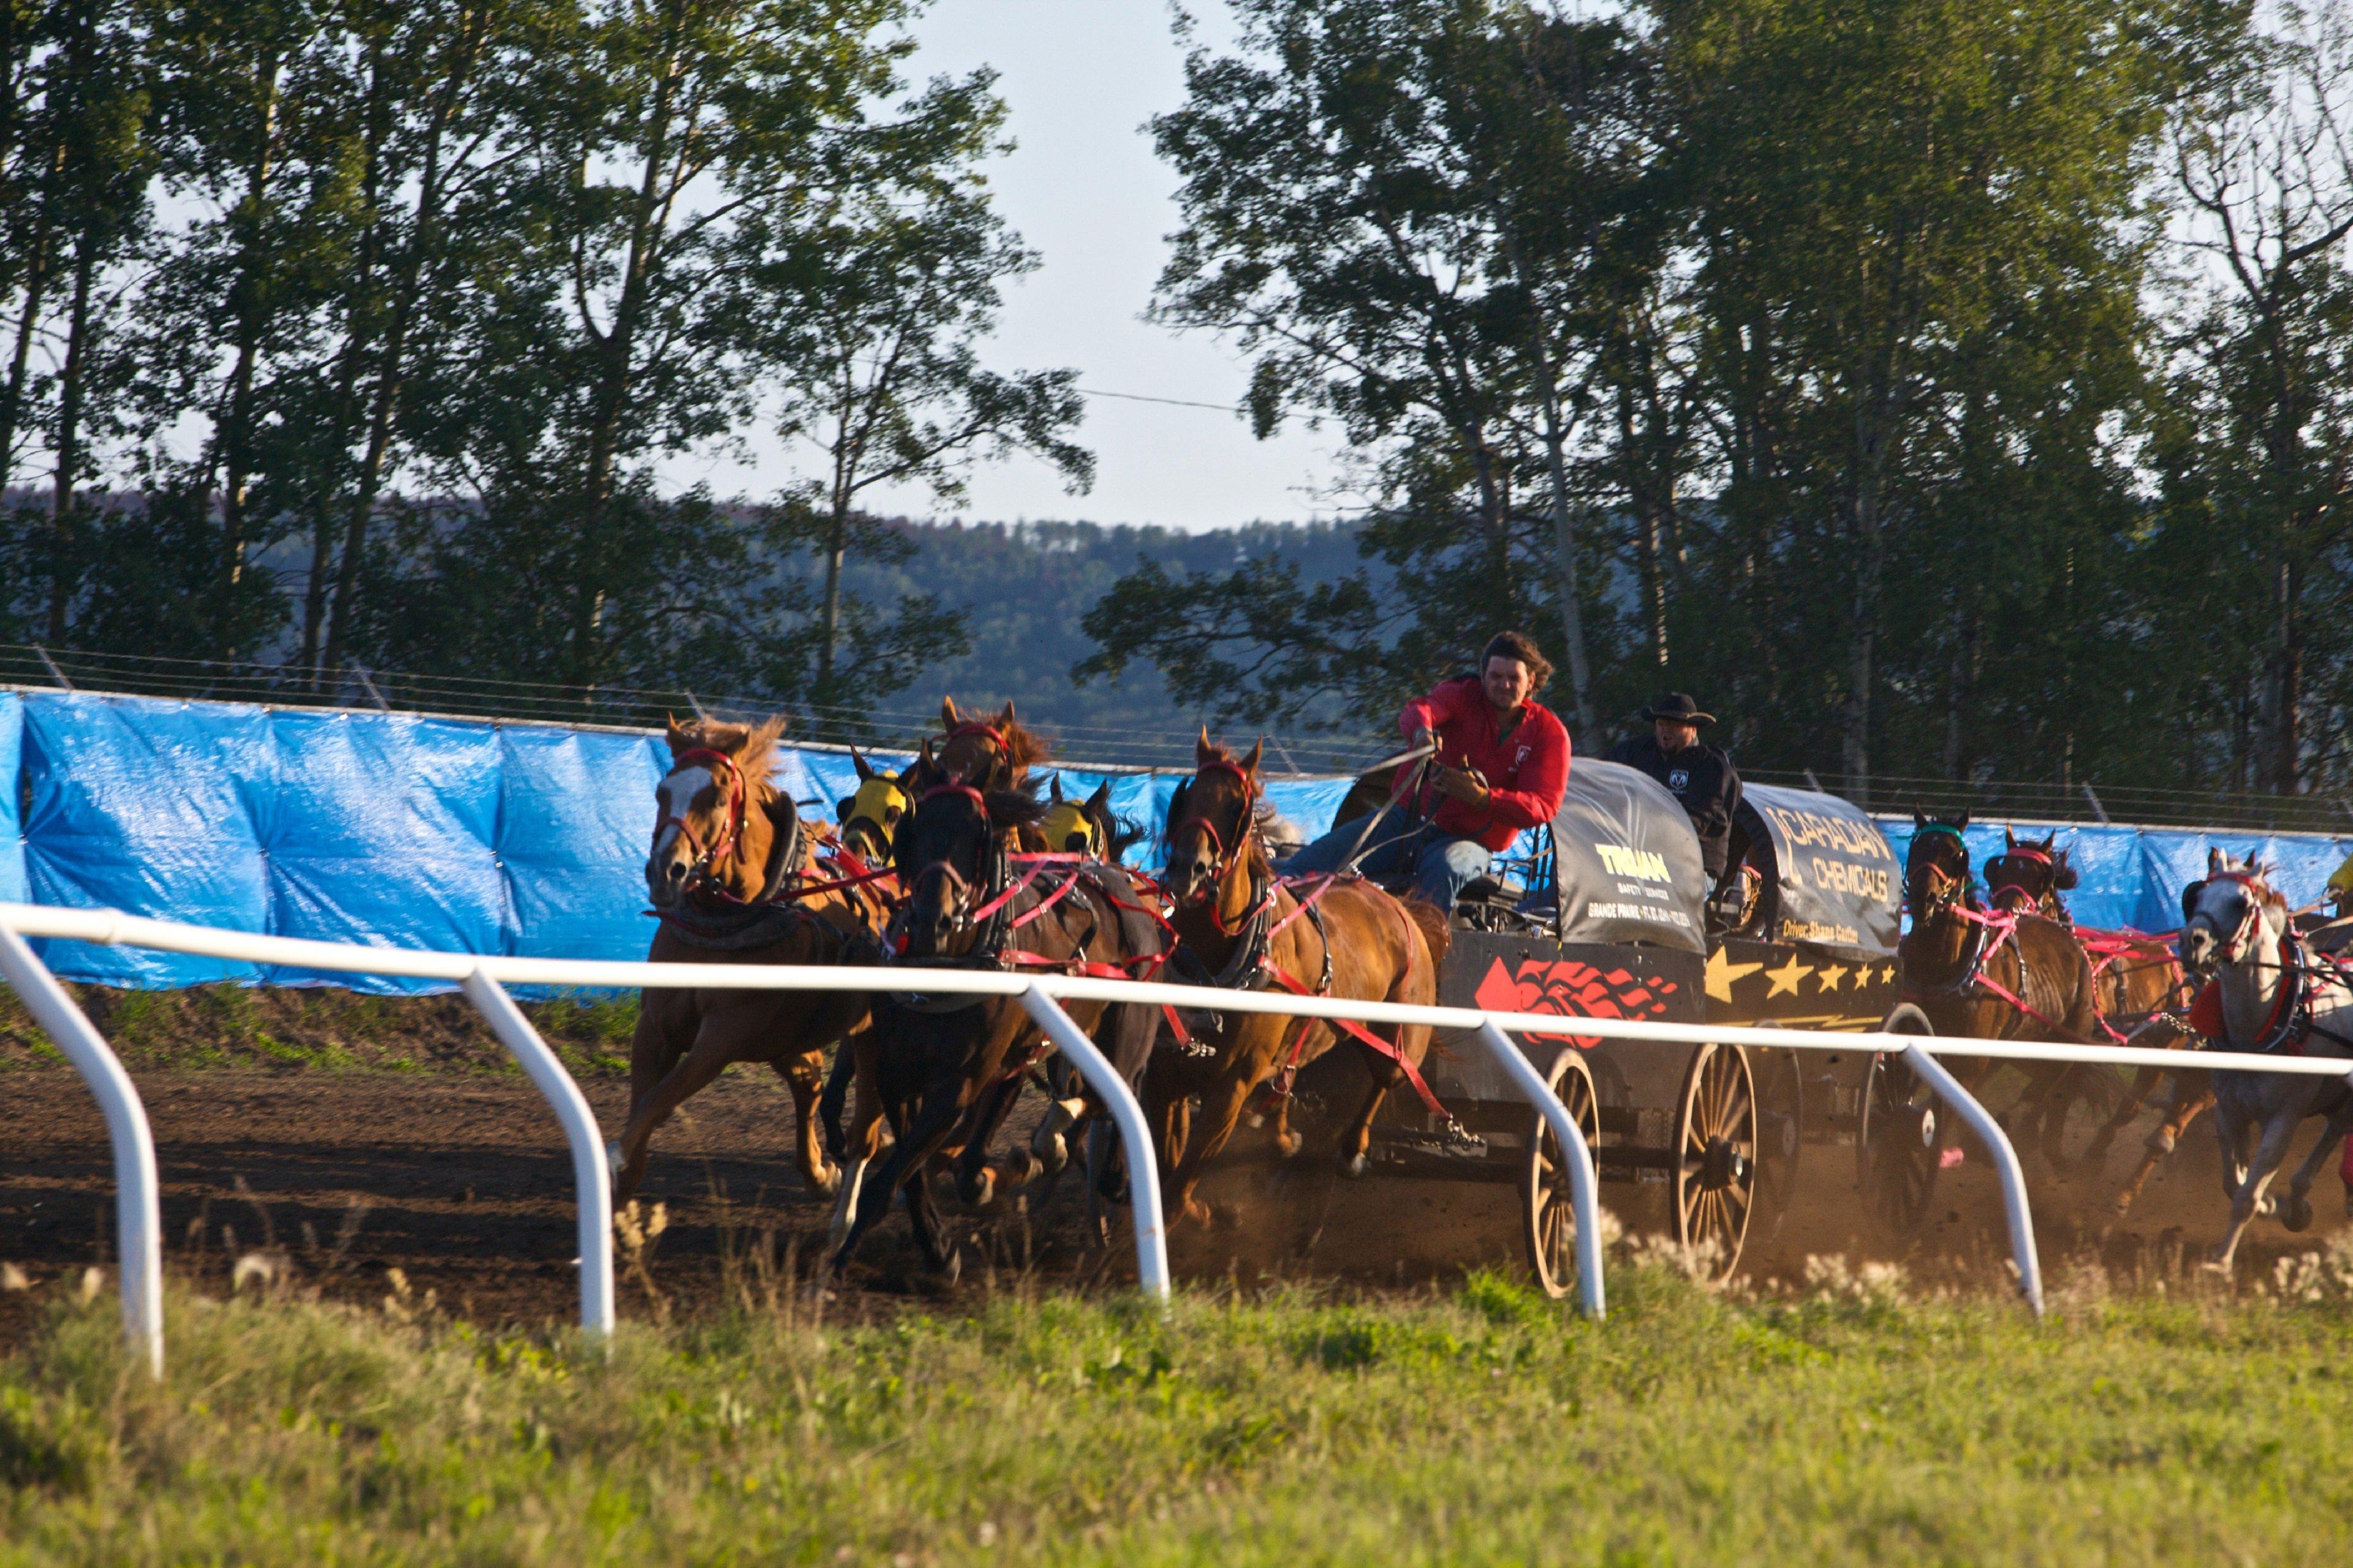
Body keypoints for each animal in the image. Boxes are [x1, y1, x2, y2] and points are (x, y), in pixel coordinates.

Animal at [607, 716, 889, 1195]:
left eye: (717, 799)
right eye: (662, 792)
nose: (665, 872)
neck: (724, 924)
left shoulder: (726, 1034)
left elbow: (658, 1102)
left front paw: (613, 1157)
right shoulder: (655, 1026)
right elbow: (644, 1101)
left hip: (871, 1033)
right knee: (809, 1082)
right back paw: (821, 1172)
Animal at [828, 776, 1167, 1281]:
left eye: (977, 837)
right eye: (915, 826)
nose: (933, 921)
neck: (947, 968)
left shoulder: (963, 1082)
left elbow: (895, 1178)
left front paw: (841, 1261)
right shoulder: (904, 1073)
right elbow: (921, 1171)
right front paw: (939, 1245)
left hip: (1126, 1035)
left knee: (1113, 1094)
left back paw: (1088, 1158)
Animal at [1153, 725, 1449, 1224]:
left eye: (1237, 805)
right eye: (1188, 794)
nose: (1187, 870)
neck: (1220, 962)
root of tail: (1399, 904)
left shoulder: (1230, 1087)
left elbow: (1178, 1189)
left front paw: (1198, 1213)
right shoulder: (1167, 1071)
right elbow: (1164, 1164)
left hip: (1400, 1040)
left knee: (1384, 1079)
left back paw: (1351, 1150)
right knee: (1289, 1076)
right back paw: (1280, 1131)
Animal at [1901, 819, 2108, 1158]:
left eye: (1957, 856)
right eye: (1915, 849)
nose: (1924, 899)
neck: (1941, 967)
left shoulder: (1969, 1061)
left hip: (2070, 1042)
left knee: (2047, 1094)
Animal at [2164, 843, 2353, 1271]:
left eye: (2240, 902)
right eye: (2197, 895)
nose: (2192, 942)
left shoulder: (2285, 1117)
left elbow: (2245, 1196)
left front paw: (2220, 1262)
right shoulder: (2228, 1109)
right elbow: (2233, 1182)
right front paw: (2272, 1204)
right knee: (2333, 1132)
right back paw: (2297, 1205)